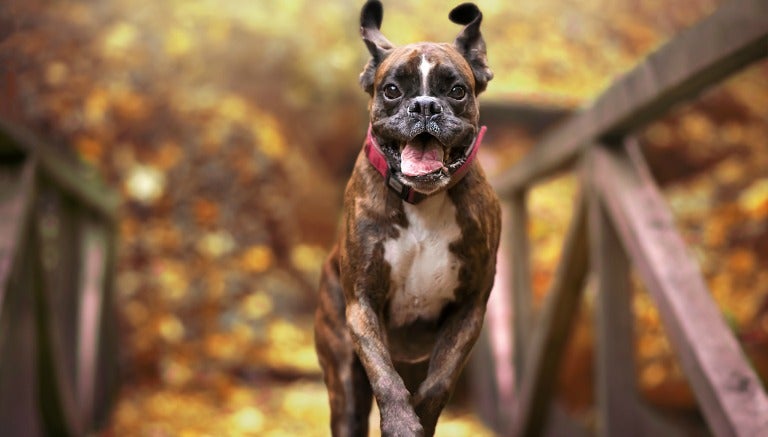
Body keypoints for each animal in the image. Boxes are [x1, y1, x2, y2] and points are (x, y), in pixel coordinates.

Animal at [316, 1, 500, 434]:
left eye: (457, 90)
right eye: (392, 90)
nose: (425, 106)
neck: (421, 202)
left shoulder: (469, 309)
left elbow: (439, 382)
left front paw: (421, 417)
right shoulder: (362, 304)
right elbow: (384, 375)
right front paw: (401, 422)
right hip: (343, 382)